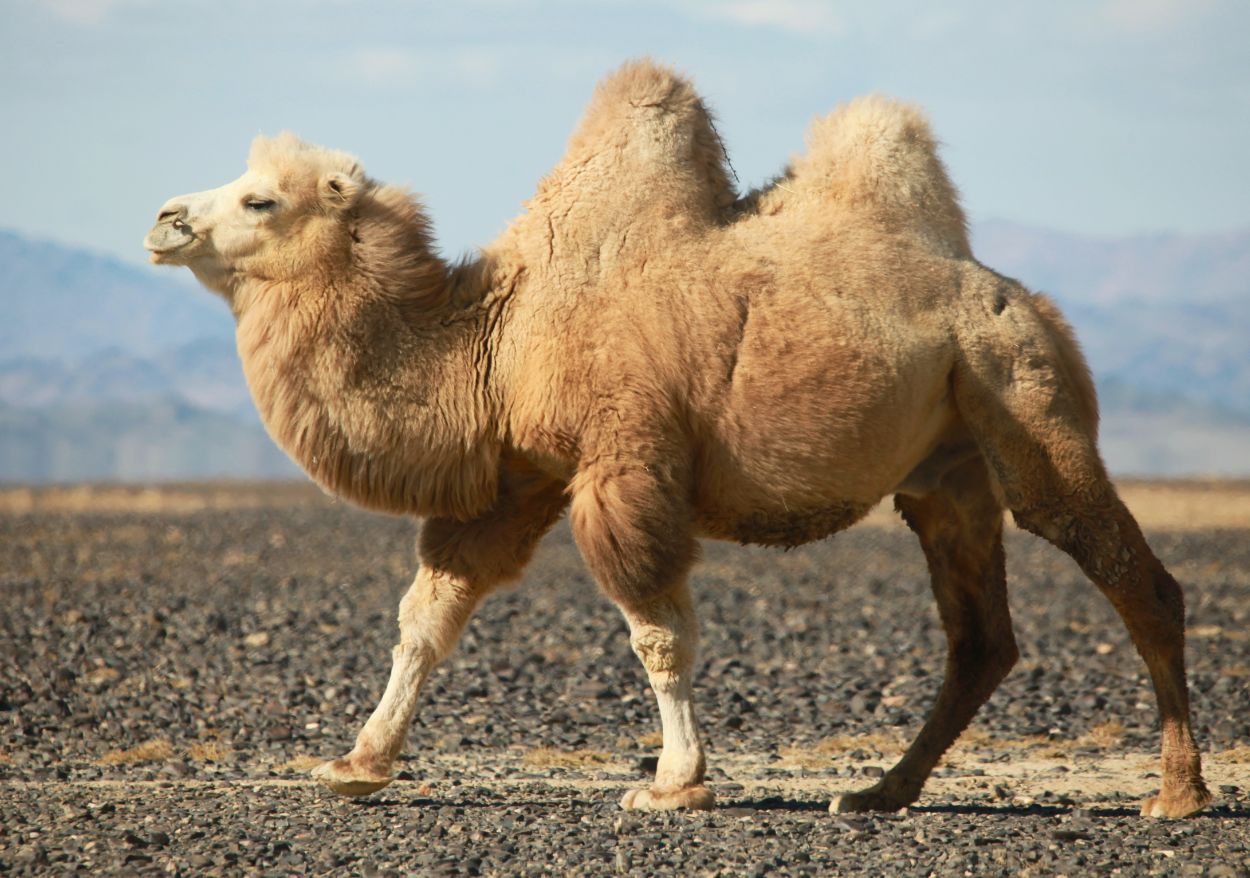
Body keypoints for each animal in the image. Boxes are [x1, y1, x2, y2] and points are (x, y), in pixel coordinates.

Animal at [143, 60, 1210, 820]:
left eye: (261, 200)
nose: (164, 217)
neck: (500, 338)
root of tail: (1021, 297)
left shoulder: (627, 459)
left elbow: (655, 628)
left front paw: (674, 782)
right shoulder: (521, 479)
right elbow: (429, 615)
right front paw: (358, 763)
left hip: (1021, 394)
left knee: (1130, 575)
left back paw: (1177, 795)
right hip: (946, 469)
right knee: (980, 637)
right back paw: (878, 792)